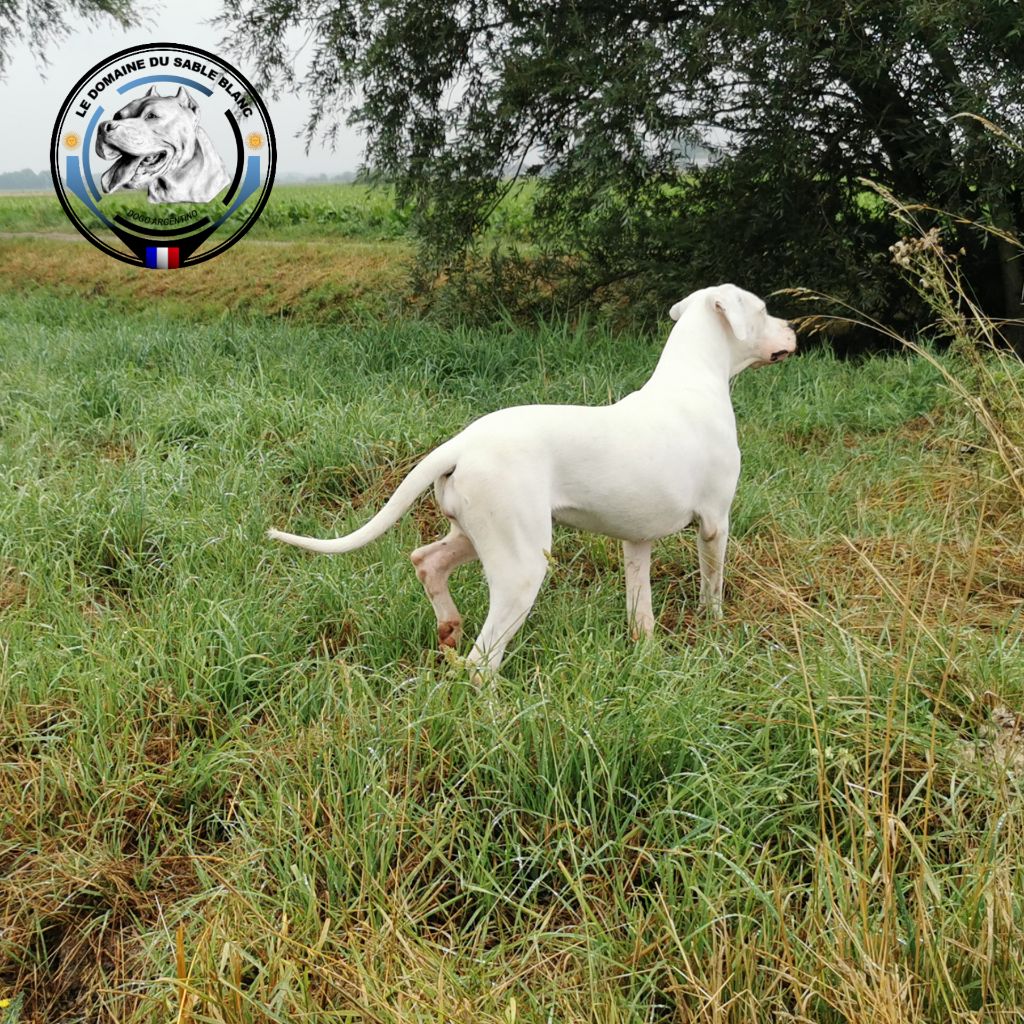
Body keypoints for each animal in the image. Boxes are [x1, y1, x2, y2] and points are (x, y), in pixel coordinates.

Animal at [268, 284, 794, 675]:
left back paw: (448, 628)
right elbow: (713, 587)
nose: (793, 329)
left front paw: (645, 654)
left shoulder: (636, 541)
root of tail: (461, 444)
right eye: (764, 310)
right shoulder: (715, 523)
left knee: (426, 561)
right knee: (482, 663)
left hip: (478, 535)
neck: (695, 376)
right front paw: (715, 628)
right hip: (521, 565)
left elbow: (640, 608)